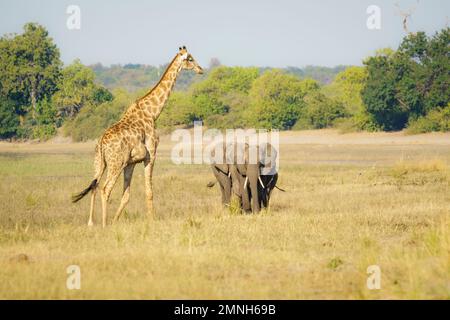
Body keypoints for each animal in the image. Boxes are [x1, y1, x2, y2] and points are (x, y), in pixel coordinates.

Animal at [72, 47, 204, 228]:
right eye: (190, 58)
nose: (201, 69)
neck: (153, 112)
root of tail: (101, 143)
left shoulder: (131, 163)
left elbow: (126, 196)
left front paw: (116, 221)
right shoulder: (151, 155)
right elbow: (149, 191)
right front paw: (152, 220)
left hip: (99, 163)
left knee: (94, 185)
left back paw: (91, 223)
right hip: (116, 164)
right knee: (105, 189)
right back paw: (104, 224)